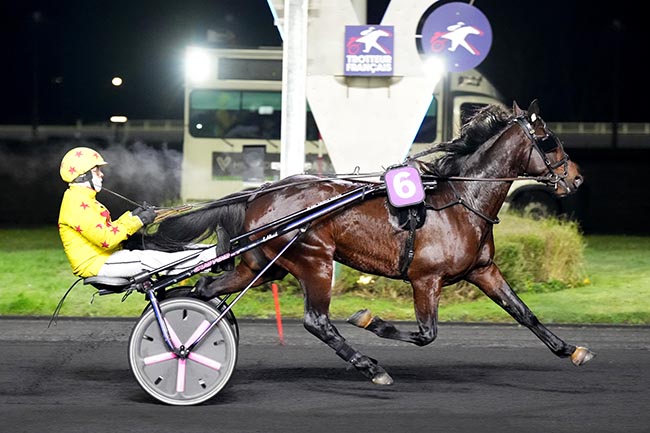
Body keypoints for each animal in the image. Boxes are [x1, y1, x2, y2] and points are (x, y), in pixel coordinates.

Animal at [140, 101, 592, 384]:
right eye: (550, 140)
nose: (577, 177)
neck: (461, 201)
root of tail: (261, 192)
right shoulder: (425, 279)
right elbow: (426, 334)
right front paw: (370, 321)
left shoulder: (483, 270)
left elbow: (524, 314)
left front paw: (570, 349)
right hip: (315, 260)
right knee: (317, 321)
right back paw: (369, 366)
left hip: (262, 264)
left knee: (207, 288)